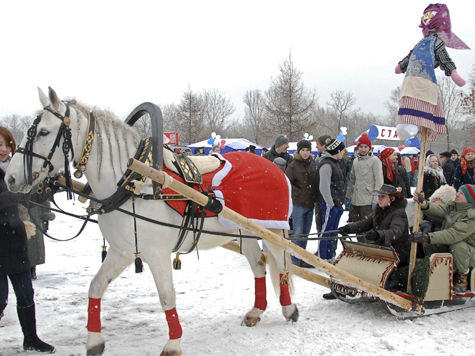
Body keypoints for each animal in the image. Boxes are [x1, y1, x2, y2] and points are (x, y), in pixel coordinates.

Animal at [6, 88, 298, 356]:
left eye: (44, 132)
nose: (10, 178)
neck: (132, 182)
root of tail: (275, 168)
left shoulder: (156, 254)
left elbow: (167, 296)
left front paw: (173, 343)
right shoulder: (122, 251)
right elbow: (96, 286)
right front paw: (94, 341)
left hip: (272, 230)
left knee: (282, 265)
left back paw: (289, 308)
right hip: (243, 232)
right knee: (258, 264)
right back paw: (256, 310)